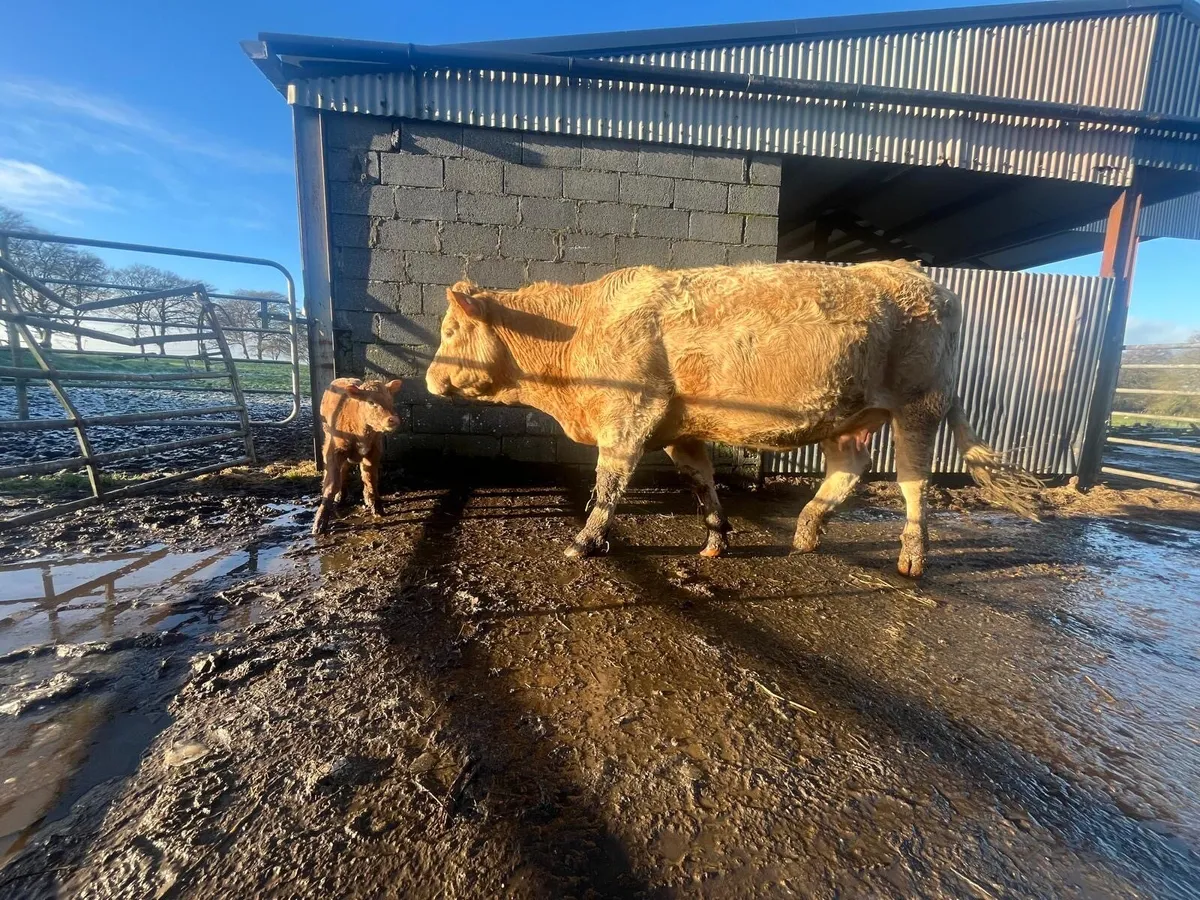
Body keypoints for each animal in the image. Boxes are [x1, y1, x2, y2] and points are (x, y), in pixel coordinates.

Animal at [312, 377, 404, 535]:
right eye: (371, 402)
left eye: (390, 399)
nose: (393, 420)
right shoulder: (334, 452)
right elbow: (331, 484)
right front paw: (320, 522)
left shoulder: (374, 451)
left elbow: (370, 478)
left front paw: (377, 507)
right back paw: (340, 496)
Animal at [425, 262, 1039, 576]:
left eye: (450, 330)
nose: (429, 380)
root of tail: (921, 275)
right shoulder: (678, 426)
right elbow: (700, 480)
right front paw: (716, 539)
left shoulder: (630, 416)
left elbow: (610, 483)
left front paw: (584, 542)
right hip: (850, 414)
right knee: (850, 465)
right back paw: (806, 531)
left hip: (919, 403)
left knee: (914, 480)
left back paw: (912, 554)